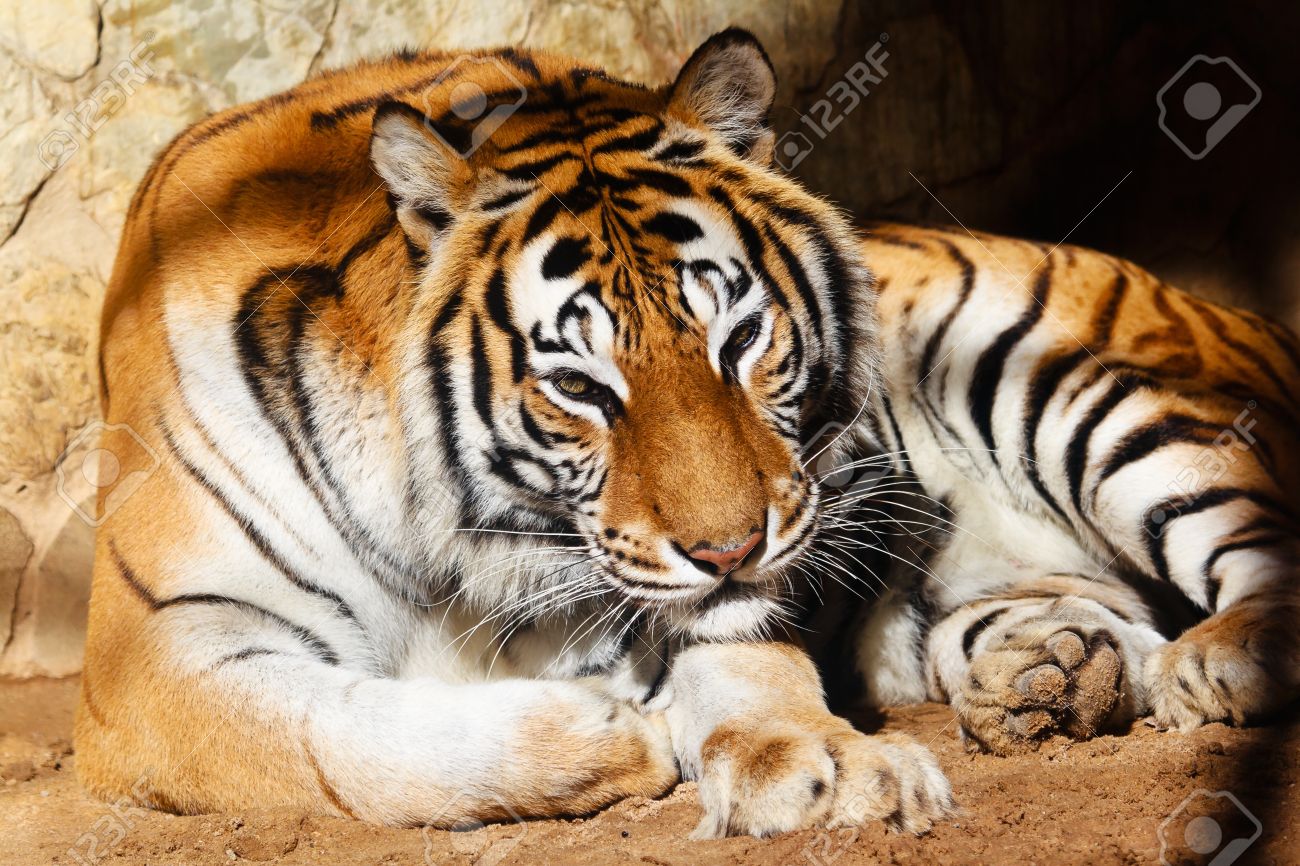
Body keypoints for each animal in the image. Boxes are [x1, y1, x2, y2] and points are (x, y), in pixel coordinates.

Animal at [75, 26, 1298, 841]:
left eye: (740, 337)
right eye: (579, 384)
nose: (730, 548)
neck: (451, 550)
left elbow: (747, 669)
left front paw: (823, 767)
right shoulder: (159, 658)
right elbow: (339, 743)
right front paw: (614, 735)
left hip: (1074, 376)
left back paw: (1211, 664)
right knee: (1087, 615)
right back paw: (1051, 674)